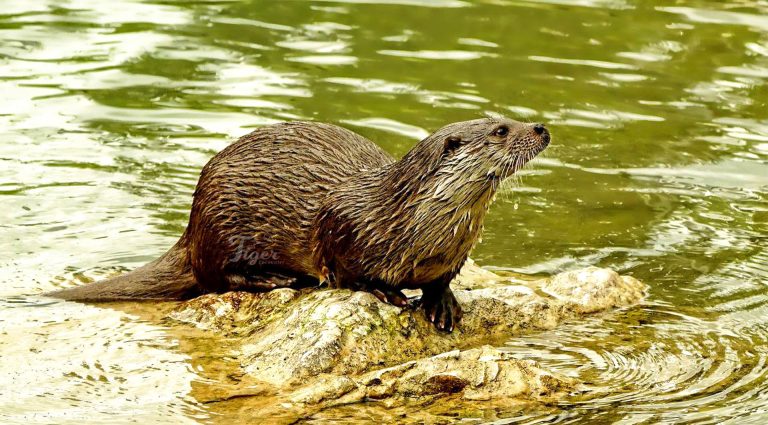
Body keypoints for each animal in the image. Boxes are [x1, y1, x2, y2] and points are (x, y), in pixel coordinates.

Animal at [50, 117, 550, 332]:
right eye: (502, 130)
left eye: (510, 116)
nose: (542, 128)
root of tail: (190, 226)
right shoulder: (344, 230)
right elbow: (348, 274)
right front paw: (387, 293)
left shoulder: (452, 256)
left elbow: (441, 282)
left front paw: (441, 304)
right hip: (222, 224)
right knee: (217, 277)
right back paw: (278, 278)